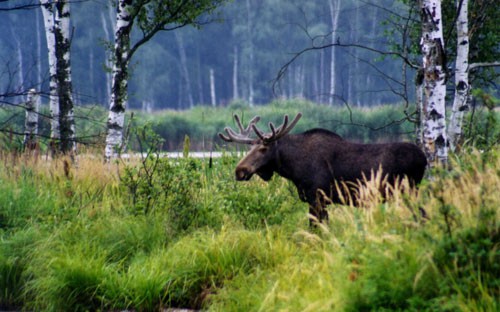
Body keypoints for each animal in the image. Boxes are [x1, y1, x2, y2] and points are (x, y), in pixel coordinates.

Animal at [217, 113, 428, 223]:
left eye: (263, 148)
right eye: (249, 147)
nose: (240, 171)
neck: (293, 169)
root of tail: (424, 158)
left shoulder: (318, 197)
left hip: (409, 190)